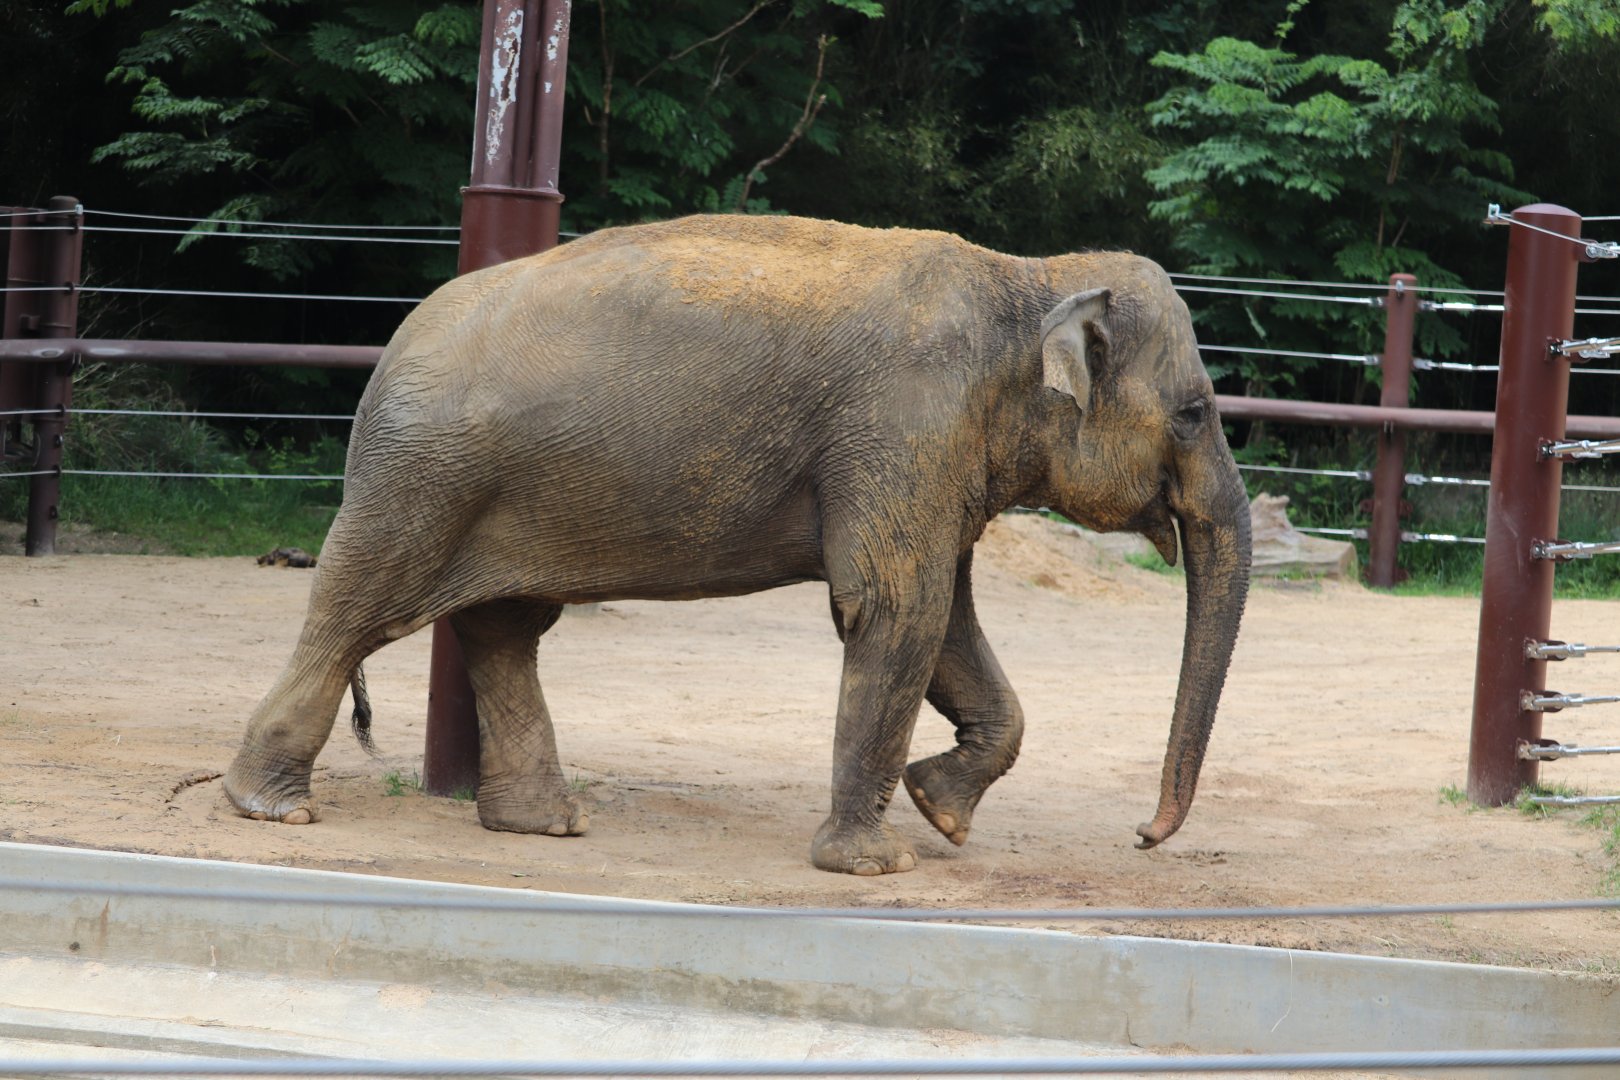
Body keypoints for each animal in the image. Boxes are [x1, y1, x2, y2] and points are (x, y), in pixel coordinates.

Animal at [223, 213, 1251, 876]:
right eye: (1196, 413)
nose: (1144, 836)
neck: (1029, 278)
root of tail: (392, 349)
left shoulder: (935, 454)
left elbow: (943, 616)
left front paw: (941, 813)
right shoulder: (905, 427)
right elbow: (896, 608)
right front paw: (875, 866)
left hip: (499, 484)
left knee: (505, 628)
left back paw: (546, 827)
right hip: (423, 479)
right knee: (354, 612)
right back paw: (270, 808)